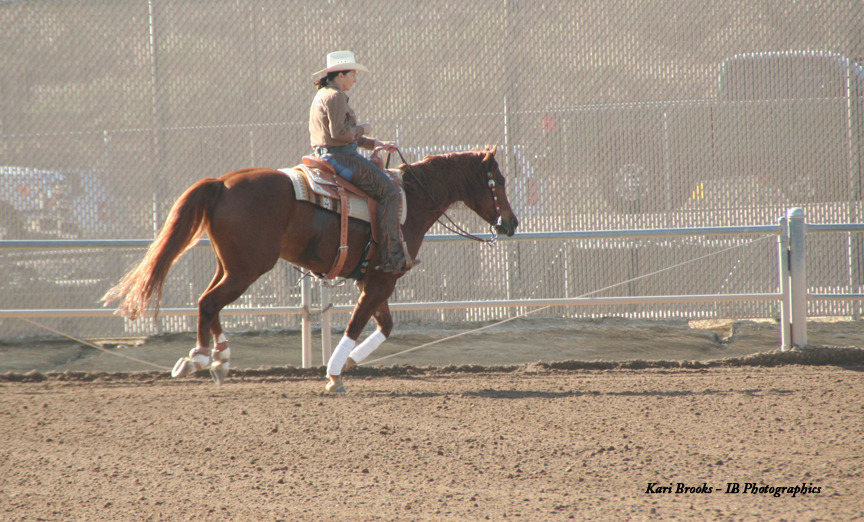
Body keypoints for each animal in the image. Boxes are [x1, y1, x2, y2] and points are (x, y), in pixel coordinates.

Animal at [102, 146, 519, 390]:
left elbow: (383, 326)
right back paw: (203, 357)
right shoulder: (382, 280)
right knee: (209, 303)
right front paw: (334, 372)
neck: (410, 202)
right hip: (247, 269)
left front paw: (349, 361)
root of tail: (222, 182)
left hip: (231, 265)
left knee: (210, 302)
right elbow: (356, 324)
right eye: (498, 180)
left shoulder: (375, 280)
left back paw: (220, 358)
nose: (511, 224)